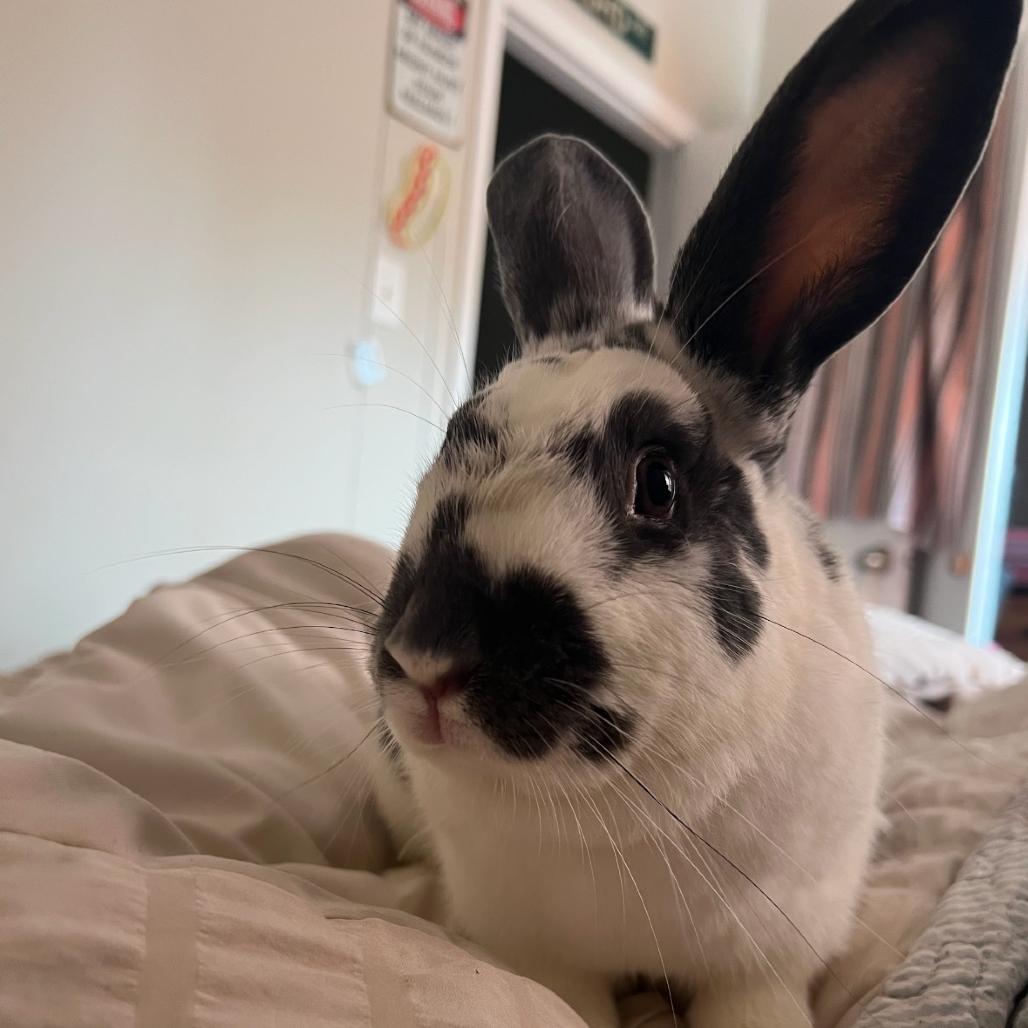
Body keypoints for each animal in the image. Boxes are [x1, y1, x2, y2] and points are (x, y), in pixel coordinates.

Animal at [364, 0, 1022, 1024]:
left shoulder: (765, 962)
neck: (621, 817)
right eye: (456, 434)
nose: (427, 654)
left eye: (658, 484)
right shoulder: (536, 955)